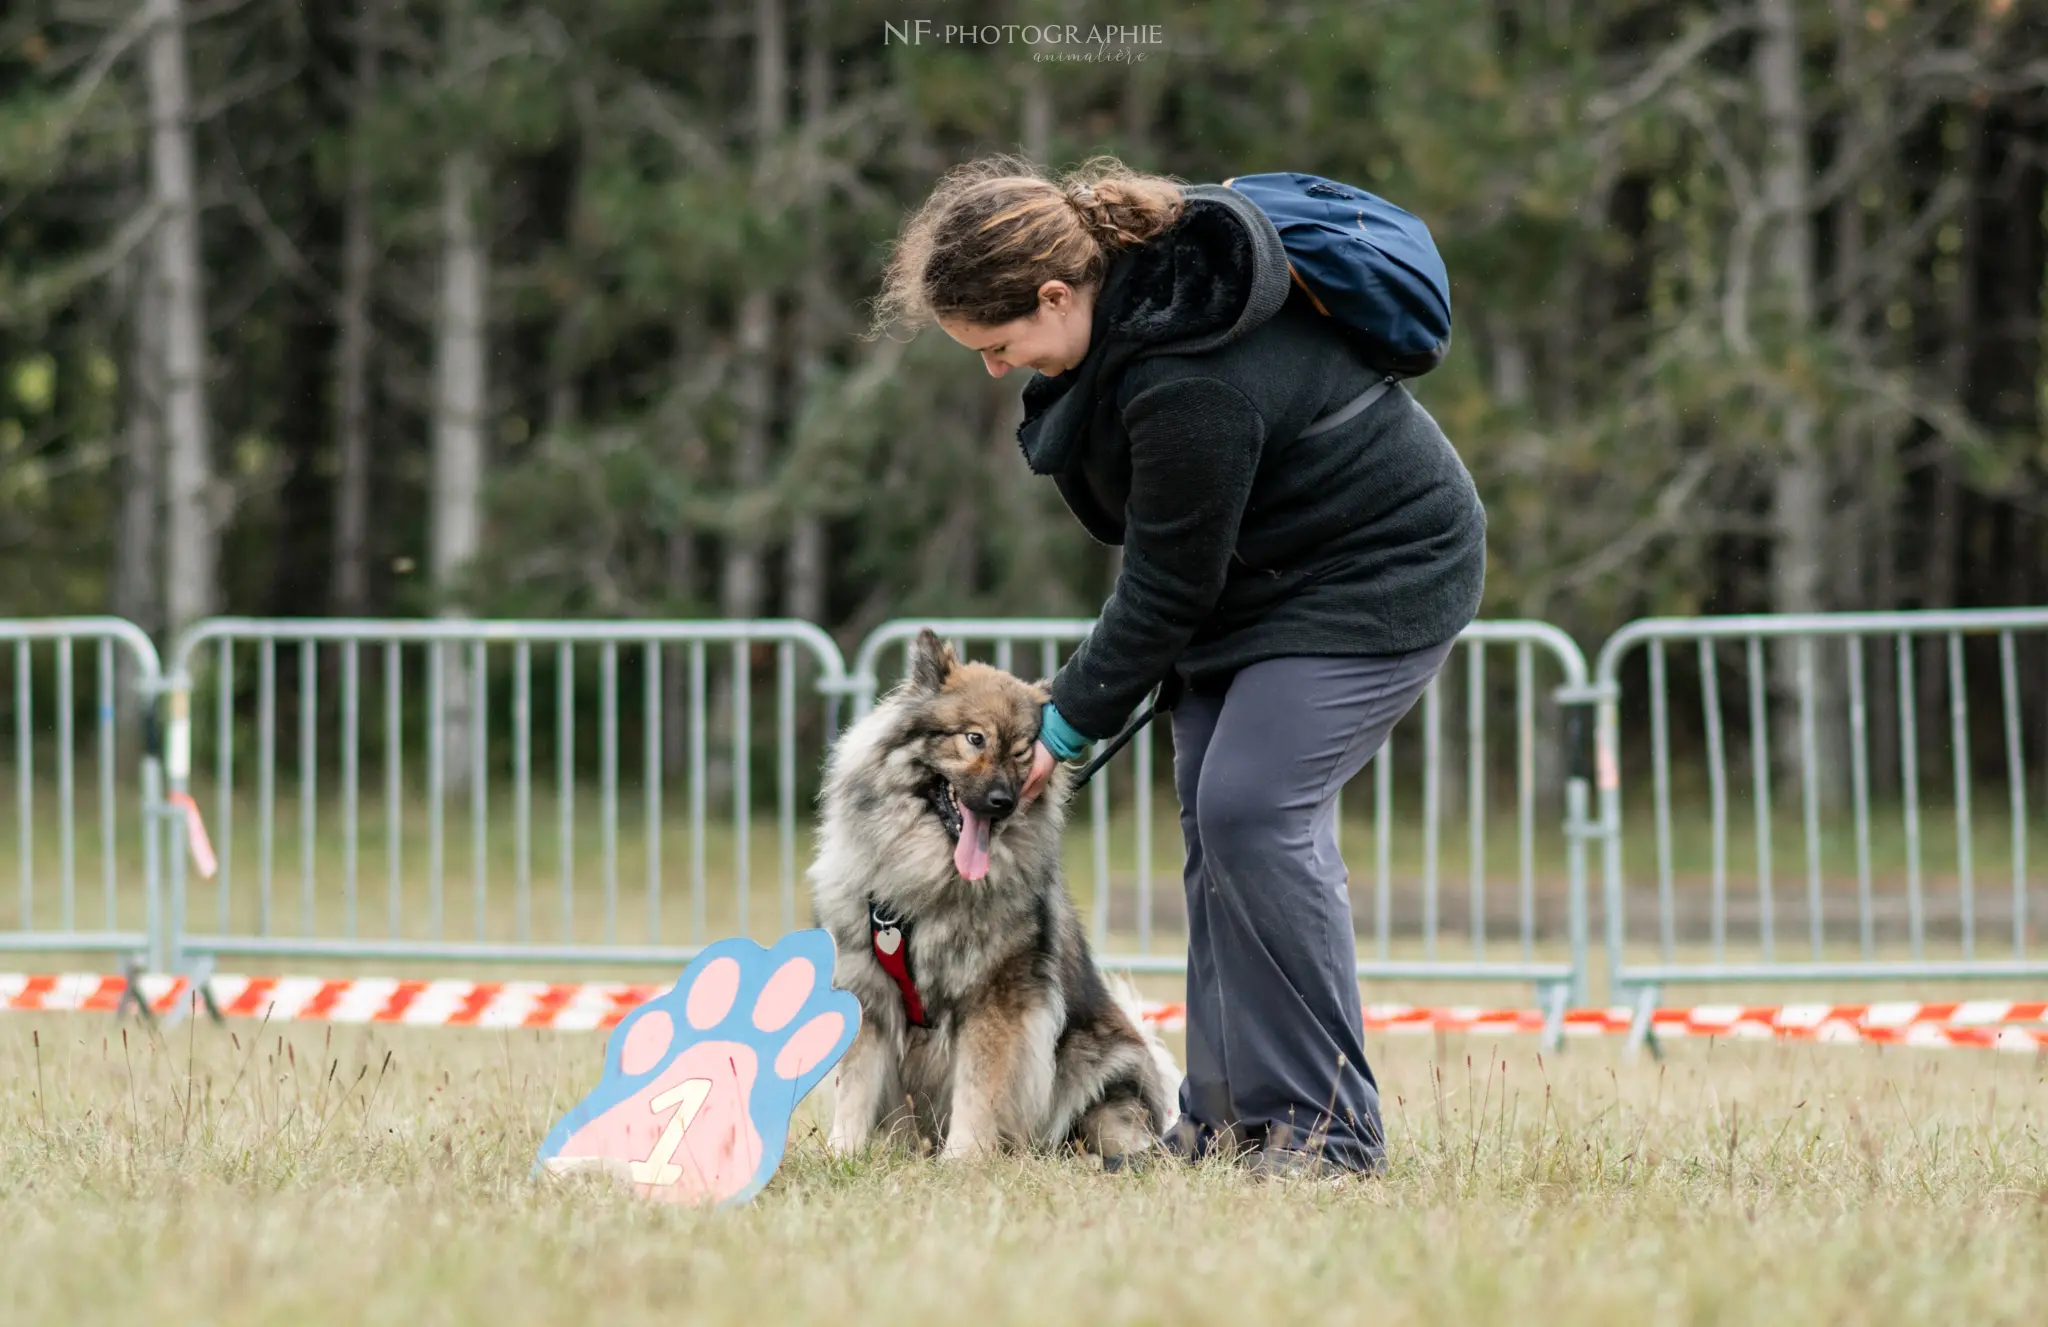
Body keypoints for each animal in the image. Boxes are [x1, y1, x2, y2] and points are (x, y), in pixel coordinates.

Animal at [806, 630, 1179, 1163]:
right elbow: (854, 1089)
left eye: (1022, 753)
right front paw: (844, 1155)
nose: (1002, 801)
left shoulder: (993, 1003)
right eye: (974, 739)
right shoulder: (870, 996)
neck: (929, 884)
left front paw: (963, 1159)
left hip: (1099, 1065)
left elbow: (977, 1090)